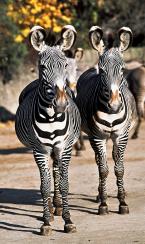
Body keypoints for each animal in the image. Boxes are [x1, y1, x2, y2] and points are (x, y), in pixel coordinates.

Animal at [15, 24, 81, 234]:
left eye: (65, 65)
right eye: (42, 67)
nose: (60, 104)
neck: (51, 117)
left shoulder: (65, 147)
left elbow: (64, 183)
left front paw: (68, 220)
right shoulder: (40, 150)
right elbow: (44, 185)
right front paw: (45, 222)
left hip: (57, 149)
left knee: (57, 172)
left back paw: (58, 206)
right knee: (50, 176)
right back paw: (52, 210)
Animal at [76, 26, 137, 215]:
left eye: (123, 70)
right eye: (102, 71)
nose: (115, 105)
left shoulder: (121, 136)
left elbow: (119, 168)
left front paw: (122, 202)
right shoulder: (97, 137)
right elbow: (103, 170)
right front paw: (103, 204)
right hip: (93, 136)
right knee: (98, 161)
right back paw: (99, 195)